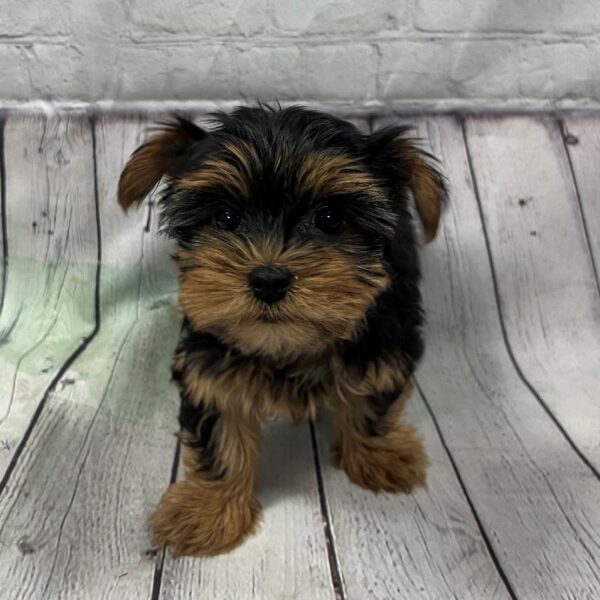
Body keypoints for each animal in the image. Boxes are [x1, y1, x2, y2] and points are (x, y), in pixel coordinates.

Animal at [117, 104, 446, 556]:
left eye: (329, 218)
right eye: (226, 217)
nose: (268, 280)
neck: (290, 346)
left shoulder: (384, 341)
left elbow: (374, 396)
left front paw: (377, 453)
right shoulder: (209, 360)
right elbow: (220, 430)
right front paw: (207, 509)